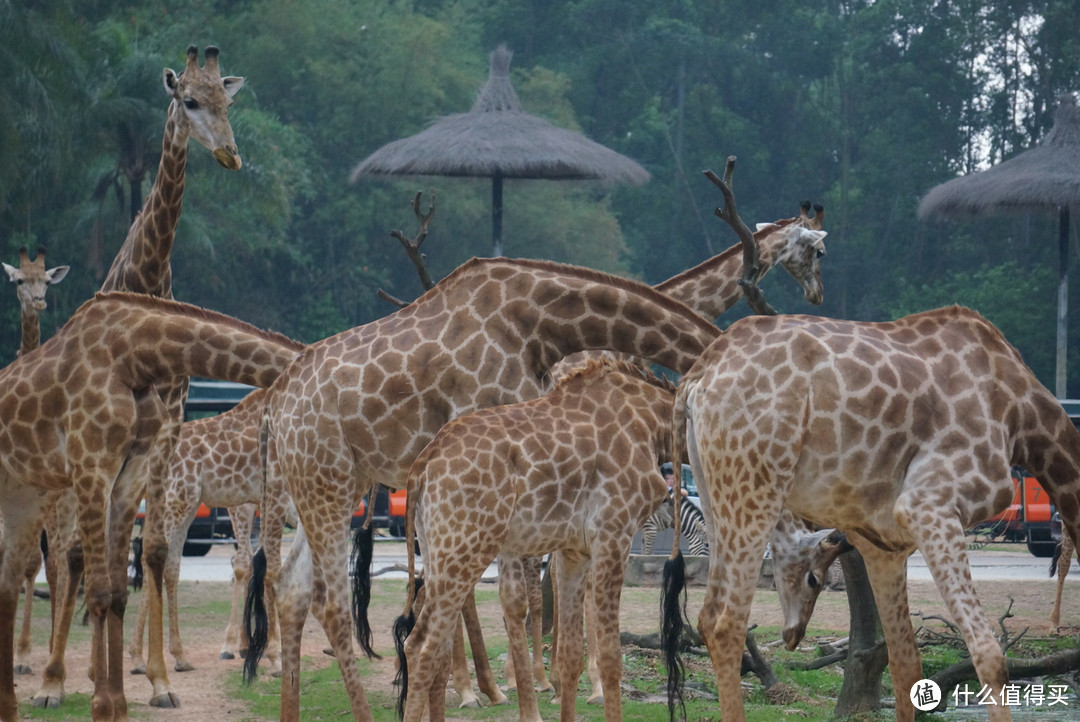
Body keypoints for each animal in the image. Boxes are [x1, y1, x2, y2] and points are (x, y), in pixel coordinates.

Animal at [0, 291, 302, 720]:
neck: (134, 352)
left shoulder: (129, 476)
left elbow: (119, 589)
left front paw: (120, 703)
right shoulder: (93, 467)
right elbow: (100, 590)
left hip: (29, 496)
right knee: (69, 560)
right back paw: (54, 680)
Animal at [240, 254, 721, 720]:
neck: (544, 323)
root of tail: (272, 406)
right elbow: (515, 600)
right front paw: (522, 702)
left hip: (333, 485)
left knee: (294, 589)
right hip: (330, 482)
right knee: (336, 603)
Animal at [660, 306, 1080, 720]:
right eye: (813, 579)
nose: (793, 636)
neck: (1024, 417)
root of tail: (697, 377)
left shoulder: (885, 548)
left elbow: (906, 661)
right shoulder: (930, 505)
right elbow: (989, 654)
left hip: (716, 493)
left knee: (707, 617)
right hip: (755, 484)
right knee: (724, 623)